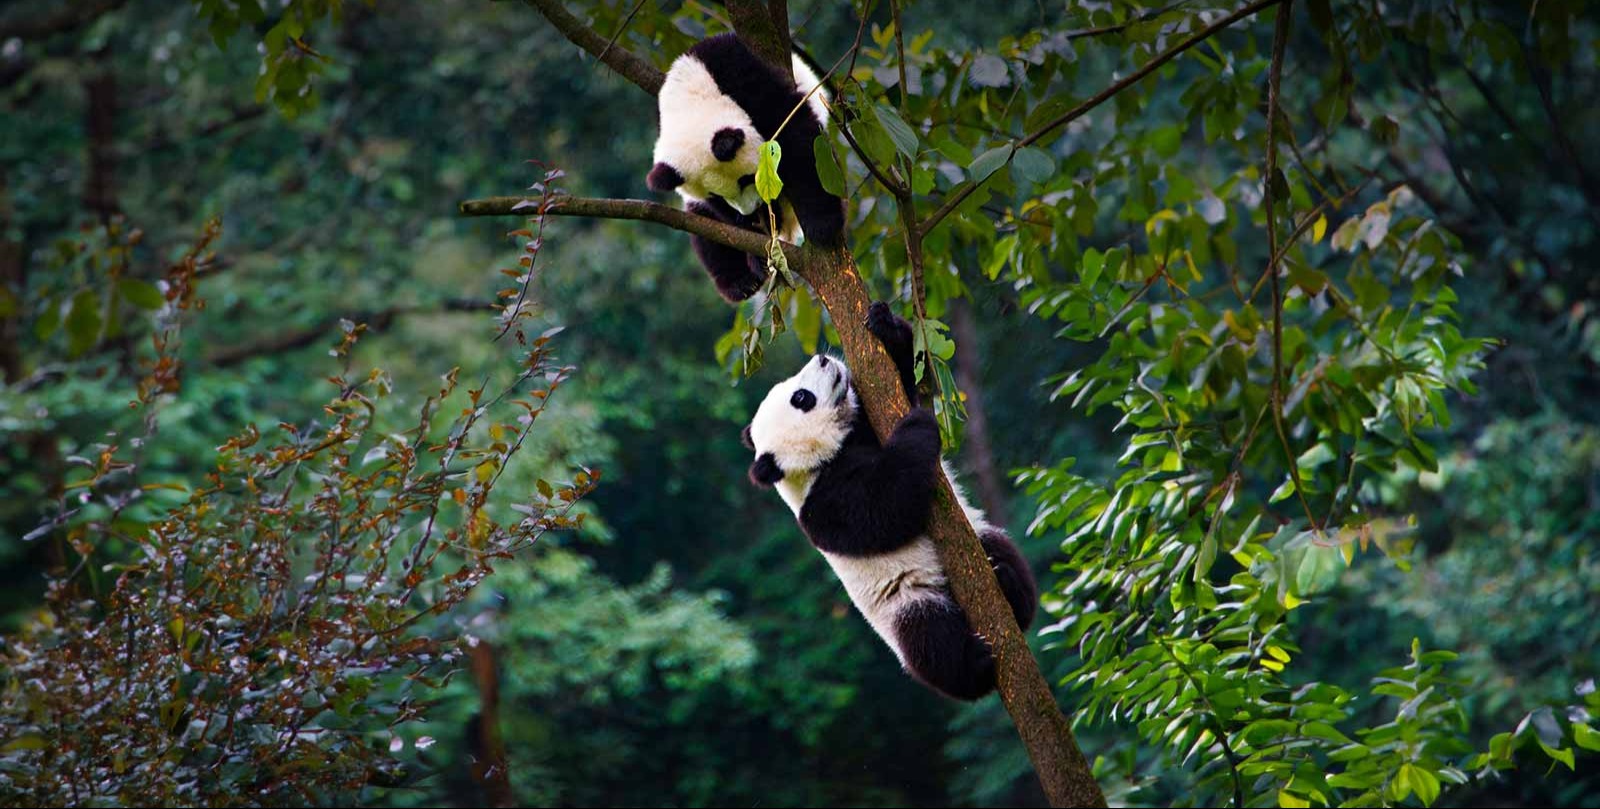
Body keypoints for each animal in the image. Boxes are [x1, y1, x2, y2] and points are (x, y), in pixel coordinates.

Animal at [647, 33, 846, 303]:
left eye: (747, 179)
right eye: (717, 197)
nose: (752, 211)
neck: (691, 96)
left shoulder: (743, 76)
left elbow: (796, 139)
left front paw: (823, 224)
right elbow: (714, 218)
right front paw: (756, 249)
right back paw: (741, 282)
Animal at [740, 302, 1038, 700]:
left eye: (789, 387)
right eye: (800, 398)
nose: (822, 358)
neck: (823, 456)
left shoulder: (865, 425)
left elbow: (906, 382)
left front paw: (884, 325)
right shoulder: (822, 505)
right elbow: (883, 511)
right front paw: (916, 428)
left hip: (979, 533)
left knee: (1002, 552)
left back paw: (1008, 584)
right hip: (902, 603)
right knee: (929, 639)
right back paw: (975, 665)